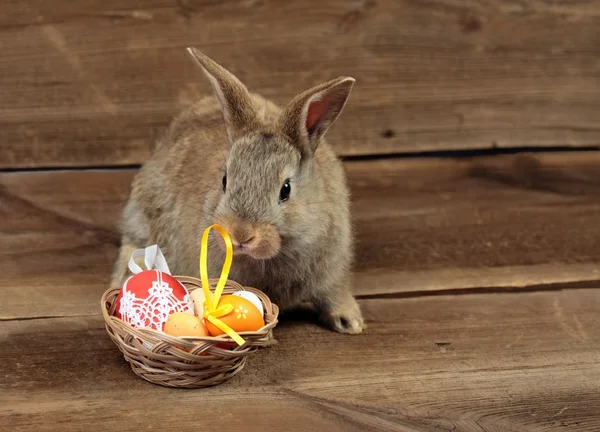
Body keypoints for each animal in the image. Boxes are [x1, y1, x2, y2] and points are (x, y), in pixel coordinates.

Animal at [110, 47, 366, 334]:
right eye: (224, 180)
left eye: (285, 190)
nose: (241, 235)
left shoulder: (333, 272)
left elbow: (334, 295)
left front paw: (351, 323)